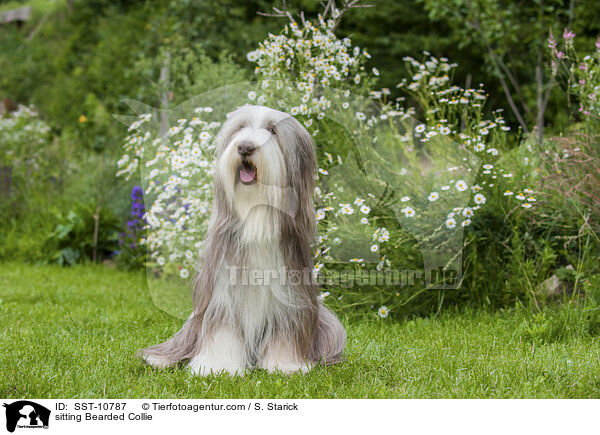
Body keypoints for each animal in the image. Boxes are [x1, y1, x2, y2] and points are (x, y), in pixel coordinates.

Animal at [140, 104, 344, 374]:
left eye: (272, 130)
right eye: (241, 127)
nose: (245, 147)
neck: (255, 217)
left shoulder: (290, 297)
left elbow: (285, 333)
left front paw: (286, 366)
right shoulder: (222, 292)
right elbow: (222, 330)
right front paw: (217, 367)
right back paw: (159, 358)